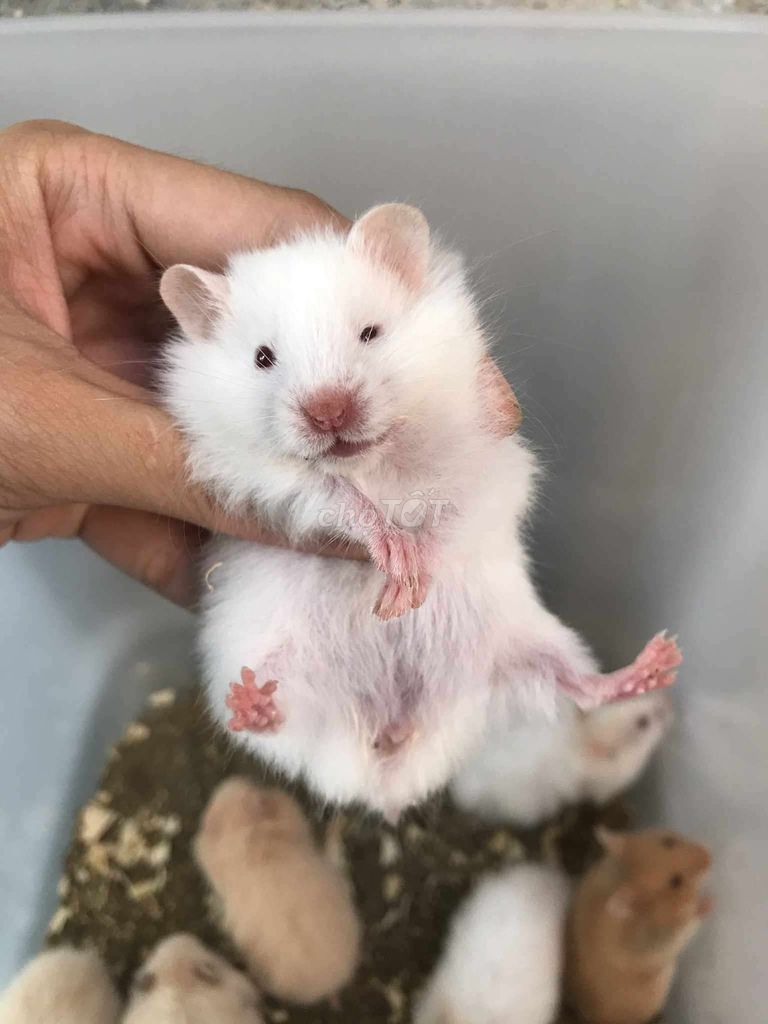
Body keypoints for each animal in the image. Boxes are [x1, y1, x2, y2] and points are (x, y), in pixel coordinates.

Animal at [565, 826, 712, 1024]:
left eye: (668, 841)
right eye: (675, 881)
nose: (710, 856)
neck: (620, 877)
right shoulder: (659, 939)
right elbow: (686, 924)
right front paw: (708, 903)